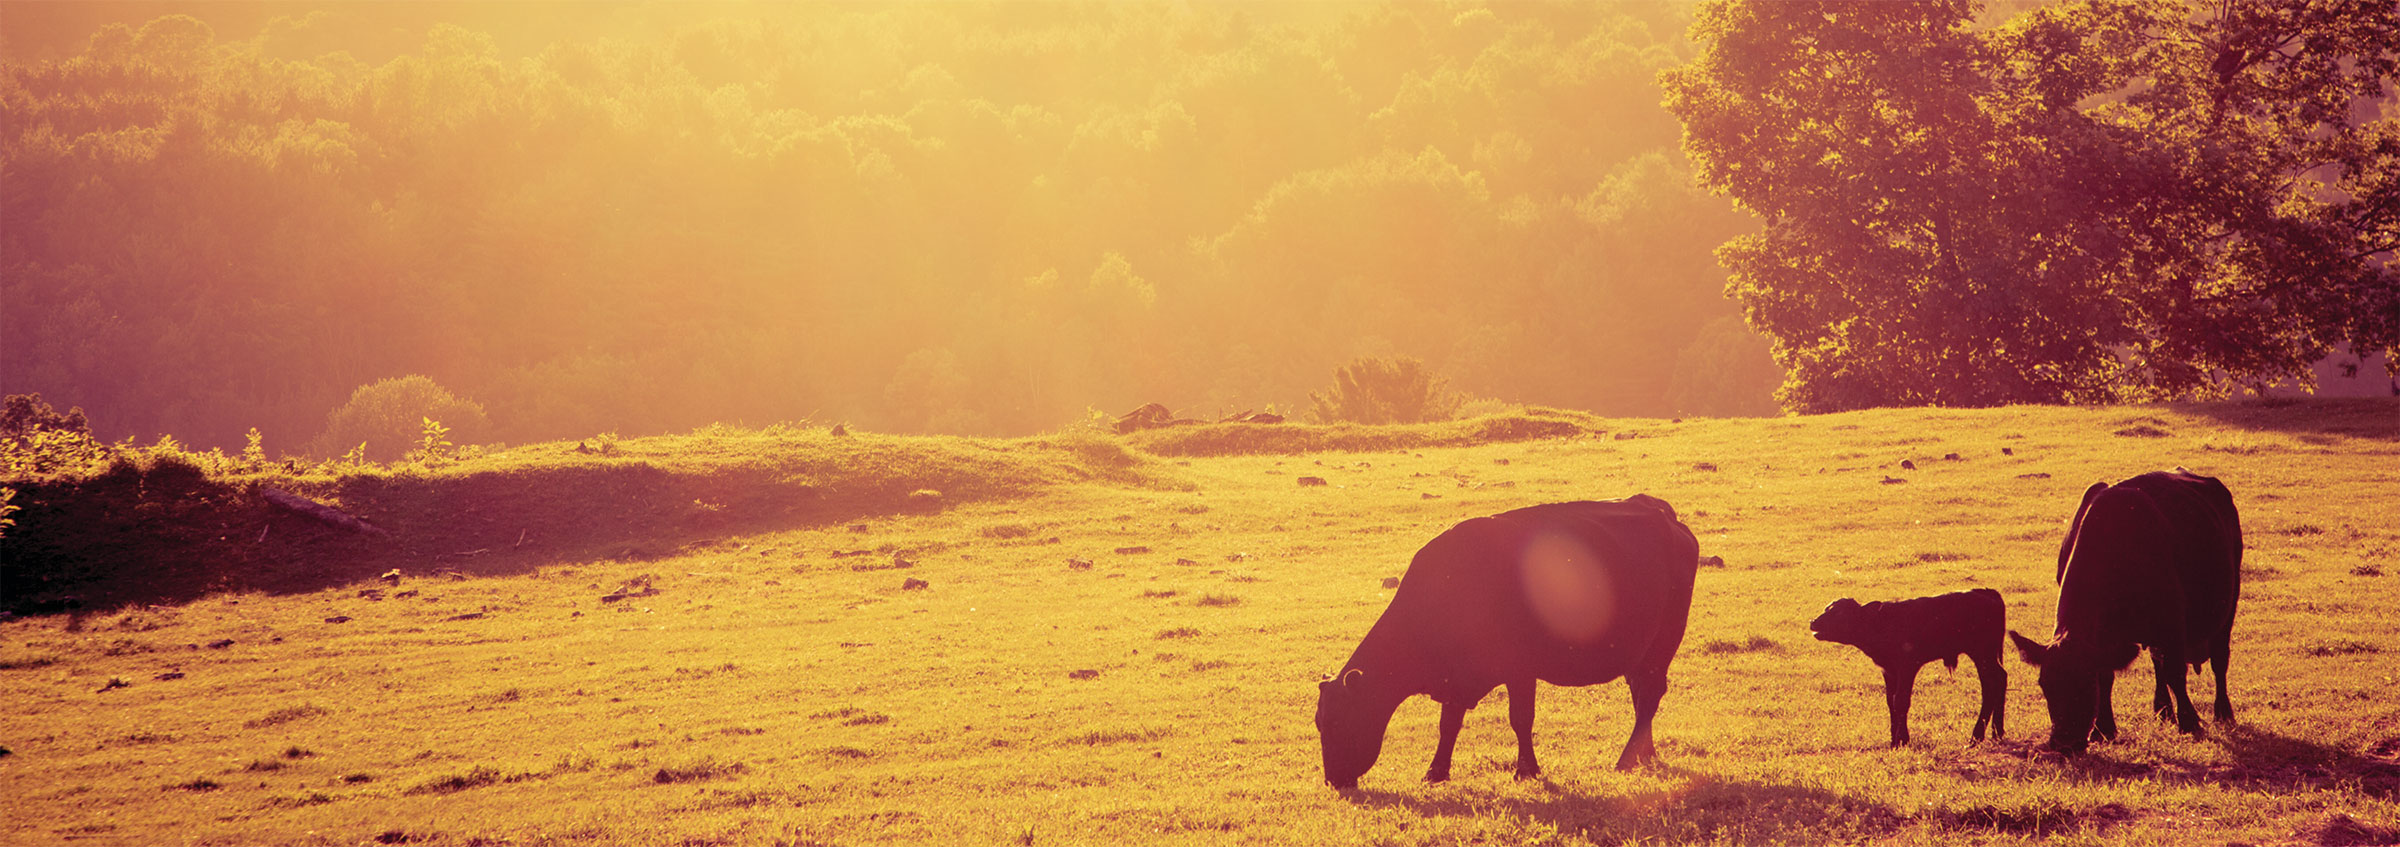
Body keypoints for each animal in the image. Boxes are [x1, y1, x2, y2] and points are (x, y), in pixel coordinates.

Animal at [1314, 496, 1699, 790]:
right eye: (1320, 722)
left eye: (1336, 722)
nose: (1334, 781)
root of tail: (1660, 511)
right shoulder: (1457, 679)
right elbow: (1448, 724)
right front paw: (1435, 772)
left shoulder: (1520, 670)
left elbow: (1520, 720)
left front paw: (1526, 770)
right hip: (1641, 654)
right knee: (1642, 696)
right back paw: (1645, 753)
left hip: (1663, 643)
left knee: (1649, 696)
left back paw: (1627, 759)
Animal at [1808, 588, 2007, 747]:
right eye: (1827, 608)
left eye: (1840, 614)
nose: (1813, 622)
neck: (1881, 624)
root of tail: (1986, 593)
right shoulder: (1888, 670)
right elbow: (1891, 701)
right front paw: (1893, 740)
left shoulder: (1908, 666)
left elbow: (1901, 701)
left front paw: (1902, 740)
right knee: (1999, 679)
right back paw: (1997, 732)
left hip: (1982, 654)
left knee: (1991, 684)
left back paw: (1977, 736)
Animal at [2009, 469, 2241, 754]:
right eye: (2045, 685)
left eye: (2085, 684)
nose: (2064, 743)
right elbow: (2110, 674)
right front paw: (2103, 729)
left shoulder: (2172, 622)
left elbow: (2176, 672)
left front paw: (2190, 722)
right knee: (2157, 661)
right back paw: (2163, 710)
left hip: (2229, 602)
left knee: (2219, 659)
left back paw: (2223, 712)